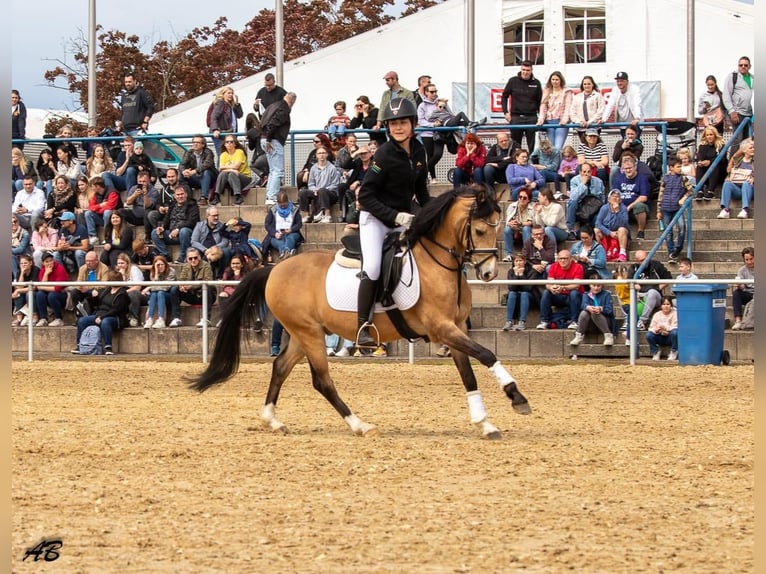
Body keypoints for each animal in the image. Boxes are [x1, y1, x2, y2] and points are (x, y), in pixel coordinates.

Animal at [187, 184, 531, 439]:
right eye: (480, 229)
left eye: (498, 227)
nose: (488, 273)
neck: (437, 263)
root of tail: (274, 268)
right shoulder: (441, 327)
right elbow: (486, 354)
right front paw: (517, 397)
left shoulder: (456, 327)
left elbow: (468, 375)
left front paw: (485, 423)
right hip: (308, 334)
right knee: (322, 381)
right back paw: (360, 425)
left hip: (303, 333)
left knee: (280, 368)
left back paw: (273, 420)